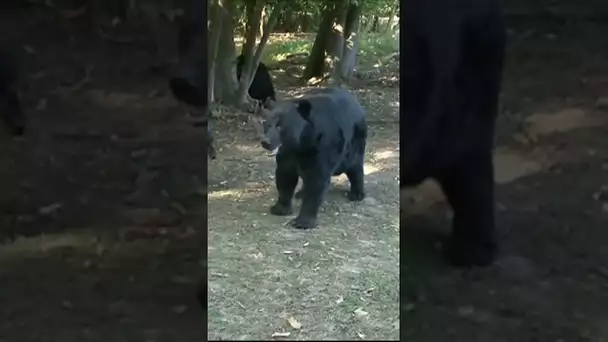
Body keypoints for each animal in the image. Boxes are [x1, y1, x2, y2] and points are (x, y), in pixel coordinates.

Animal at [251, 87, 366, 228]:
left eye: (280, 125)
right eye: (266, 124)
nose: (265, 141)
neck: (303, 142)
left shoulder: (322, 147)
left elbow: (316, 180)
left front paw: (302, 221)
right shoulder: (289, 154)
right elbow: (285, 176)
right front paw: (279, 208)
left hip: (355, 142)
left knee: (355, 166)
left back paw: (357, 193)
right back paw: (301, 193)